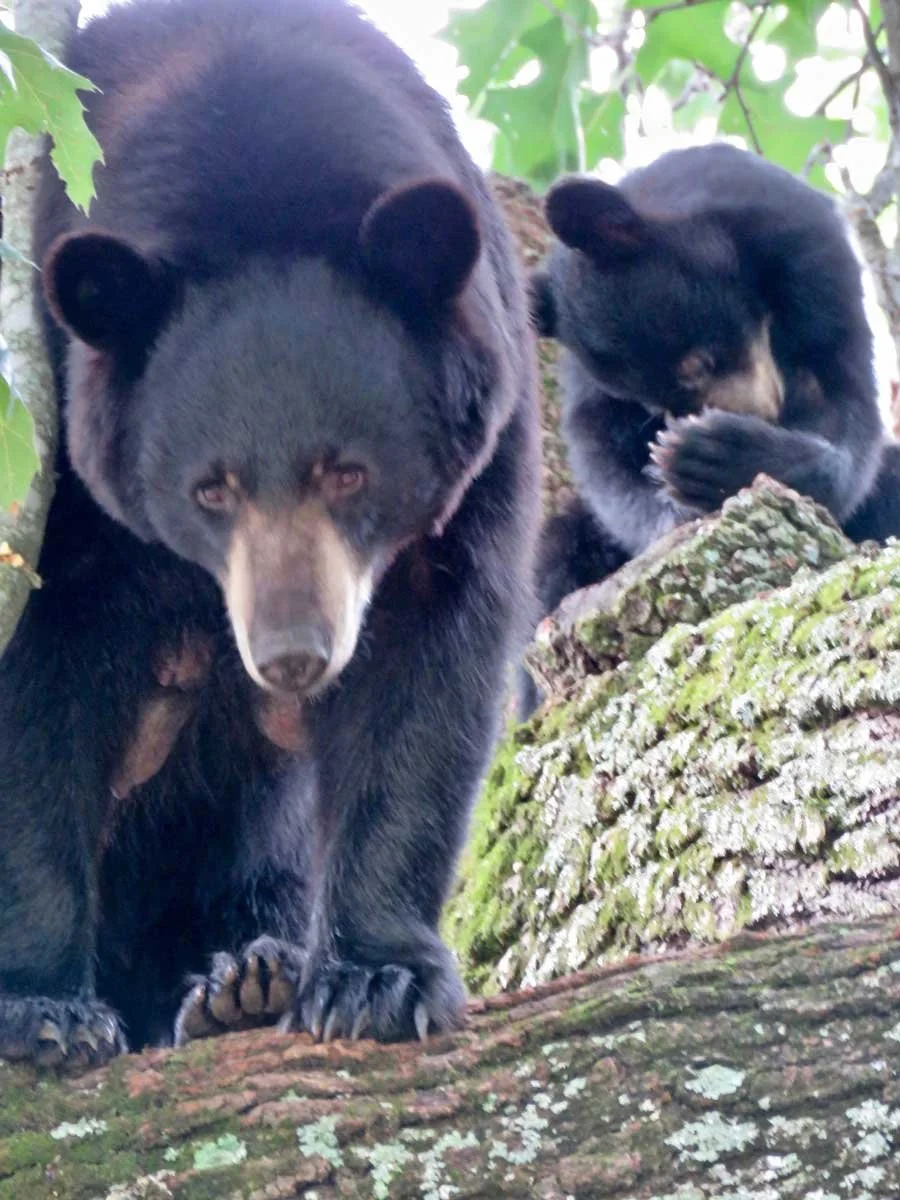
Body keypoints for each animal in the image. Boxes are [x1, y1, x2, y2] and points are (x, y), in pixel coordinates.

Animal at [0, 0, 539, 1068]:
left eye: (347, 471)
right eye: (212, 488)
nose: (293, 655)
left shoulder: (488, 439)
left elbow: (428, 672)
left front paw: (375, 978)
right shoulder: (56, 462)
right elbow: (36, 691)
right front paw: (43, 1009)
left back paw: (247, 981)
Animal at [519, 143, 893, 714]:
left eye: (700, 361)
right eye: (653, 400)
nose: (762, 413)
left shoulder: (814, 259)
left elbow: (847, 401)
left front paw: (723, 455)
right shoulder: (586, 385)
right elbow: (597, 447)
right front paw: (676, 496)